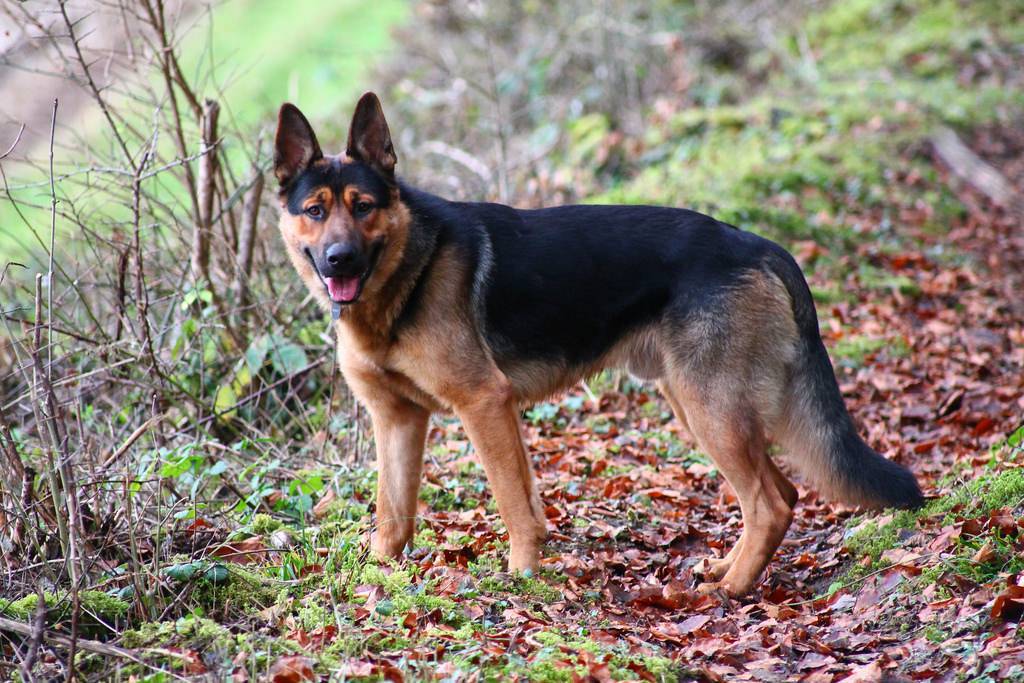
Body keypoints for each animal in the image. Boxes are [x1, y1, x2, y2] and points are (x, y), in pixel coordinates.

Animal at [273, 92, 923, 597]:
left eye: (364, 207)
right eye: (314, 211)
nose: (339, 260)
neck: (407, 271)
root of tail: (760, 245)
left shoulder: (484, 404)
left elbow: (512, 502)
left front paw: (521, 577)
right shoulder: (399, 420)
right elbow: (395, 513)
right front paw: (374, 580)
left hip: (711, 409)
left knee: (772, 502)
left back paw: (734, 588)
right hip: (698, 406)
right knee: (778, 493)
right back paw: (727, 571)